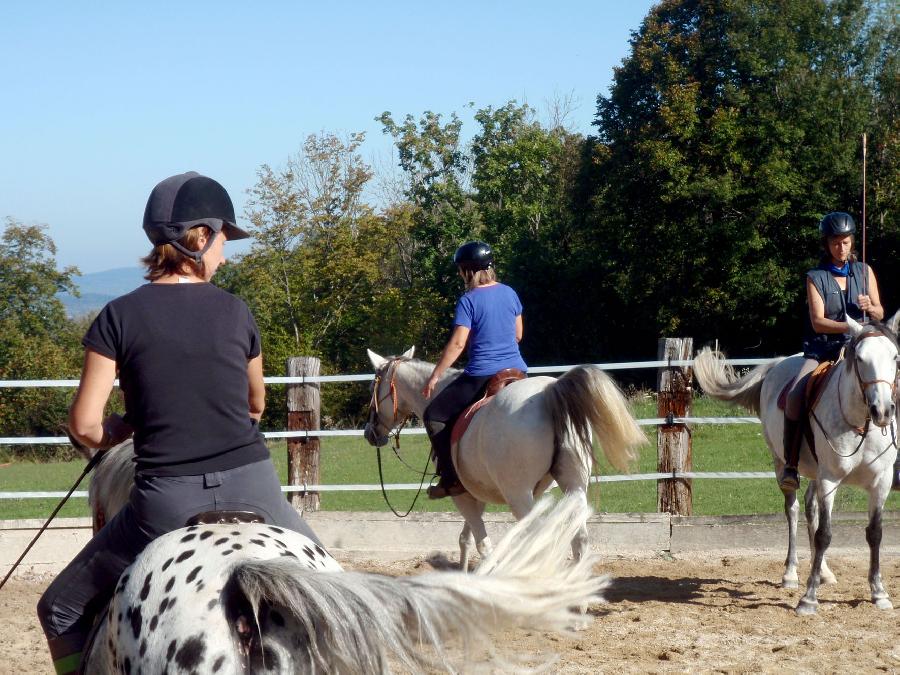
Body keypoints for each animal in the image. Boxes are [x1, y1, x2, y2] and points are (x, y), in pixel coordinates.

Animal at [362, 348, 652, 572]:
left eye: (373, 387)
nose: (369, 432)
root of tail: (550, 392)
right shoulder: (473, 492)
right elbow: (466, 539)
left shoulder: (461, 495)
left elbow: (483, 545)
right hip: (573, 486)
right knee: (578, 540)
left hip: (520, 496)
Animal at [692, 314, 896, 616]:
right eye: (860, 358)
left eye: (894, 356)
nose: (882, 410)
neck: (860, 423)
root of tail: (779, 363)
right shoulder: (830, 479)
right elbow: (825, 534)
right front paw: (808, 599)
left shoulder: (881, 481)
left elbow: (875, 533)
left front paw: (879, 593)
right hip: (783, 464)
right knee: (794, 510)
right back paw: (790, 573)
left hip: (813, 472)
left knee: (811, 508)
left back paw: (824, 572)